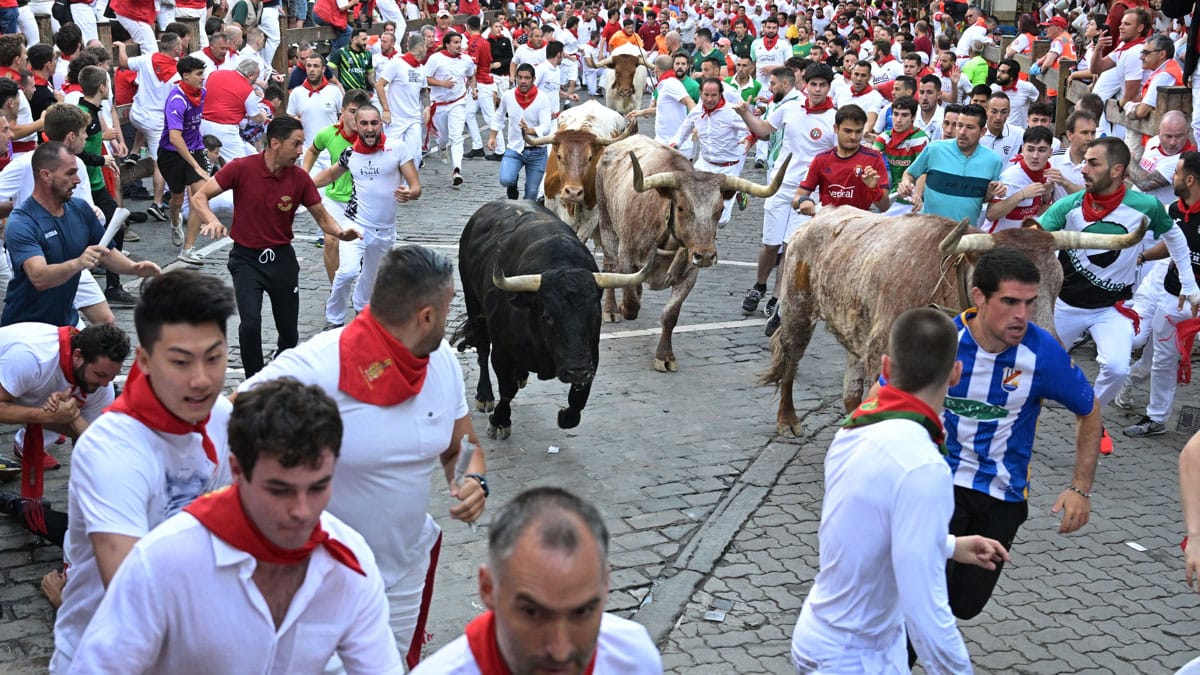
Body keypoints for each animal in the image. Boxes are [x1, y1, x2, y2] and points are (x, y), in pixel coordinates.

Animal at [453, 199, 652, 439]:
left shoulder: (590, 355)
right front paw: (500, 421)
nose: (576, 370)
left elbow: (578, 400)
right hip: (473, 301)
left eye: (594, 315)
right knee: (482, 347)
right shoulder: (502, 353)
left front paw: (565, 415)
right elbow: (507, 390)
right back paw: (484, 396)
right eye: (547, 317)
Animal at [597, 133, 787, 369]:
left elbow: (670, 315)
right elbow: (631, 300)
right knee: (609, 265)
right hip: (607, 225)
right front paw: (624, 307)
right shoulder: (627, 257)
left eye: (720, 209)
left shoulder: (689, 275)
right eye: (681, 207)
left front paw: (665, 357)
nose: (705, 255)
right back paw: (611, 309)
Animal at [763, 205, 1147, 432]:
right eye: (1007, 297)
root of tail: (820, 216)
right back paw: (787, 420)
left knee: (850, 391)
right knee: (791, 357)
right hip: (799, 309)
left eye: (1058, 282)